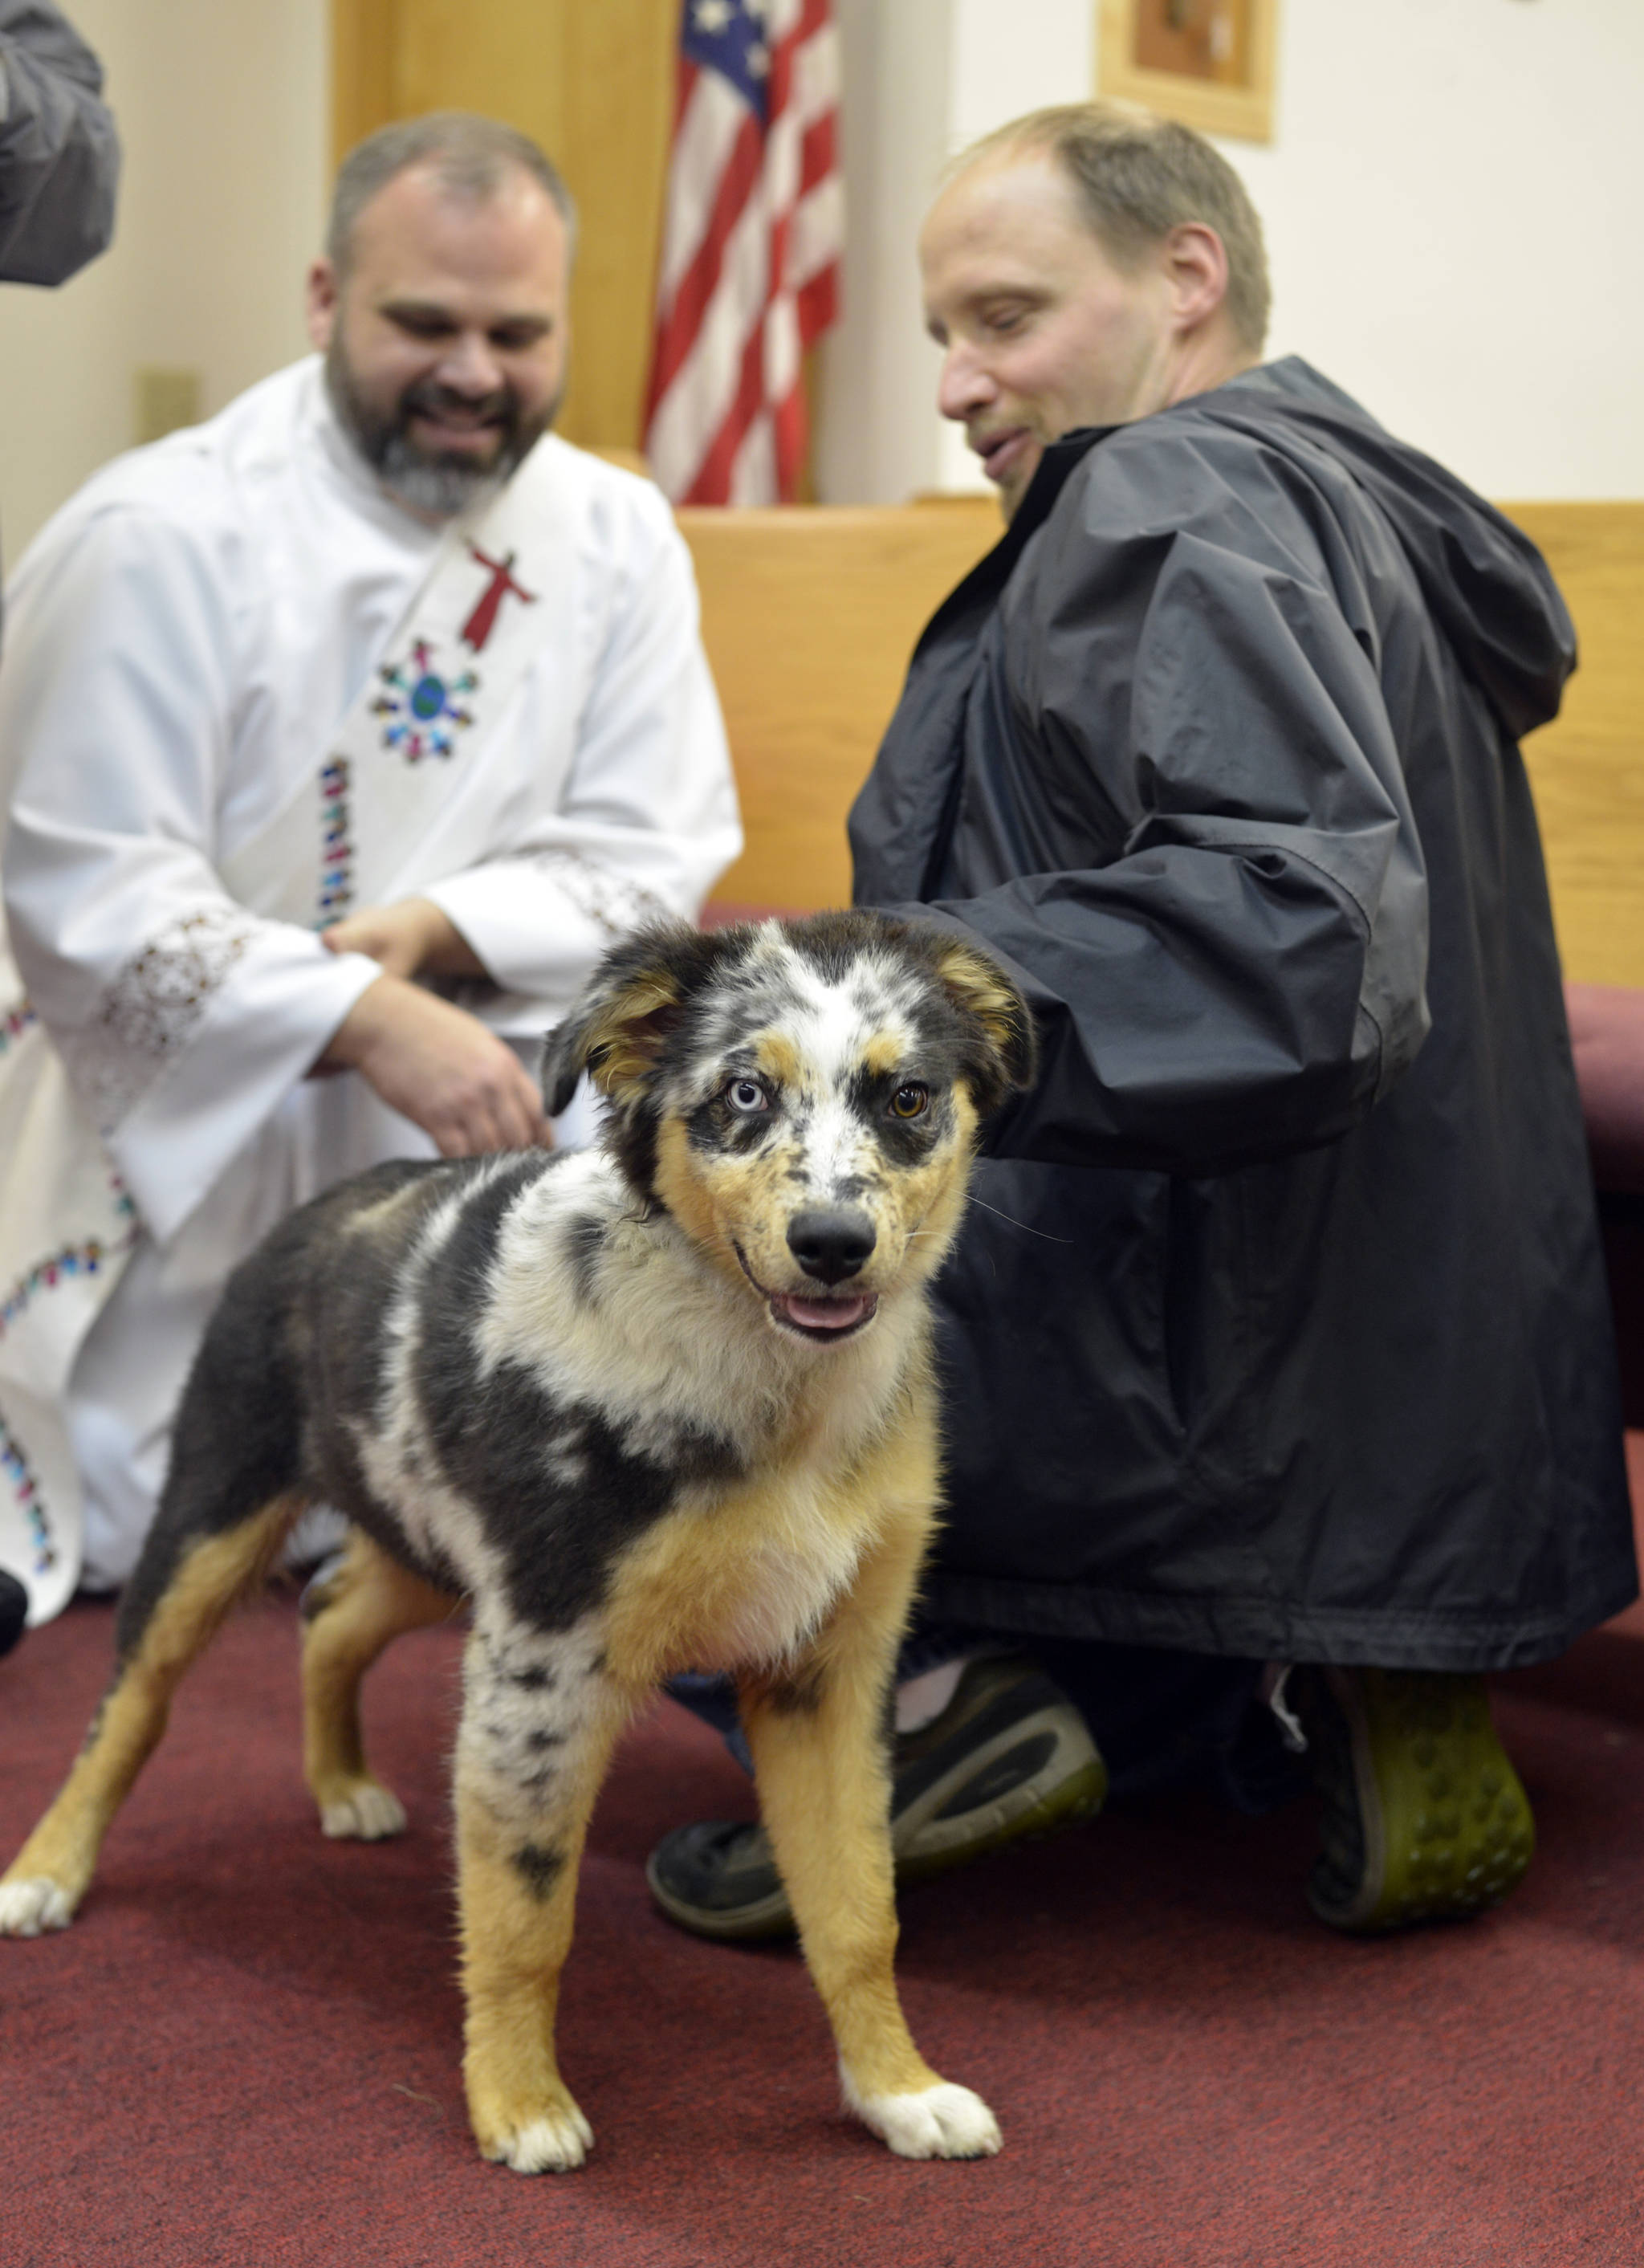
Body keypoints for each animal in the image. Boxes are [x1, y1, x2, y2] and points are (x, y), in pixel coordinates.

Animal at [0, 911, 1034, 2168]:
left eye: (910, 1098)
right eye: (742, 1093)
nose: (831, 1242)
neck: (768, 1398)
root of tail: (331, 1198)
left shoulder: (824, 1672)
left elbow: (856, 1911)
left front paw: (897, 2090)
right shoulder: (545, 1660)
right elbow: (526, 1915)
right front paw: (519, 2103)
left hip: (428, 1543)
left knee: (327, 1611)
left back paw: (342, 1782)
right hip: (215, 1511)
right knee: (130, 1707)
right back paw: (47, 1873)